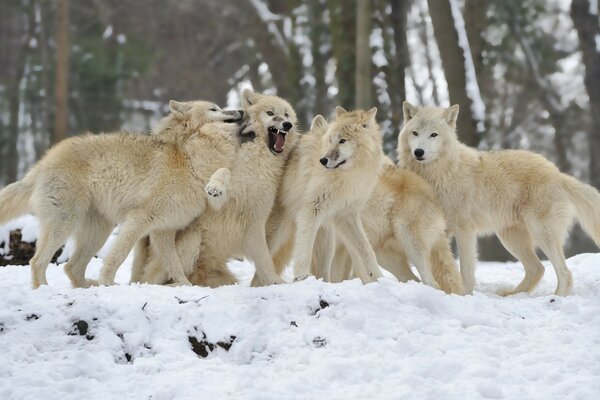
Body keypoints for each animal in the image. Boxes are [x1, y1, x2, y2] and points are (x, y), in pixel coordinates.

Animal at [1, 101, 244, 288]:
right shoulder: (140, 219)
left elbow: (174, 265)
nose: (241, 111)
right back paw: (47, 289)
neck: (190, 161)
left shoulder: (164, 230)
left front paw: (187, 287)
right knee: (37, 262)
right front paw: (108, 281)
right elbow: (119, 255)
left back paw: (88, 287)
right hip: (65, 223)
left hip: (98, 232)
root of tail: (43, 161)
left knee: (71, 267)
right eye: (214, 108)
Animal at [133, 89, 298, 286]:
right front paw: (215, 187)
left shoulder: (255, 220)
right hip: (192, 240)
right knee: (155, 278)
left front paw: (275, 282)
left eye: (287, 114)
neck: (258, 159)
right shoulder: (217, 200)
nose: (287, 124)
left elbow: (265, 261)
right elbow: (224, 171)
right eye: (270, 113)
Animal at [268, 108, 384, 282]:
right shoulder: (312, 209)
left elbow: (366, 248)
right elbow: (304, 247)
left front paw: (377, 276)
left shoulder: (347, 215)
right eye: (330, 140)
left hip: (327, 239)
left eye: (342, 140)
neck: (347, 176)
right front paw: (301, 275)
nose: (322, 160)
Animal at [396, 101, 600, 296]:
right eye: (415, 133)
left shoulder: (464, 229)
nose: (419, 152)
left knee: (564, 272)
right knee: (538, 268)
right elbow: (440, 267)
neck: (440, 173)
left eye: (433, 135)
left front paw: (465, 295)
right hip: (510, 238)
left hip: (541, 233)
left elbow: (466, 270)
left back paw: (556, 298)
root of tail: (558, 173)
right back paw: (512, 295)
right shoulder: (439, 231)